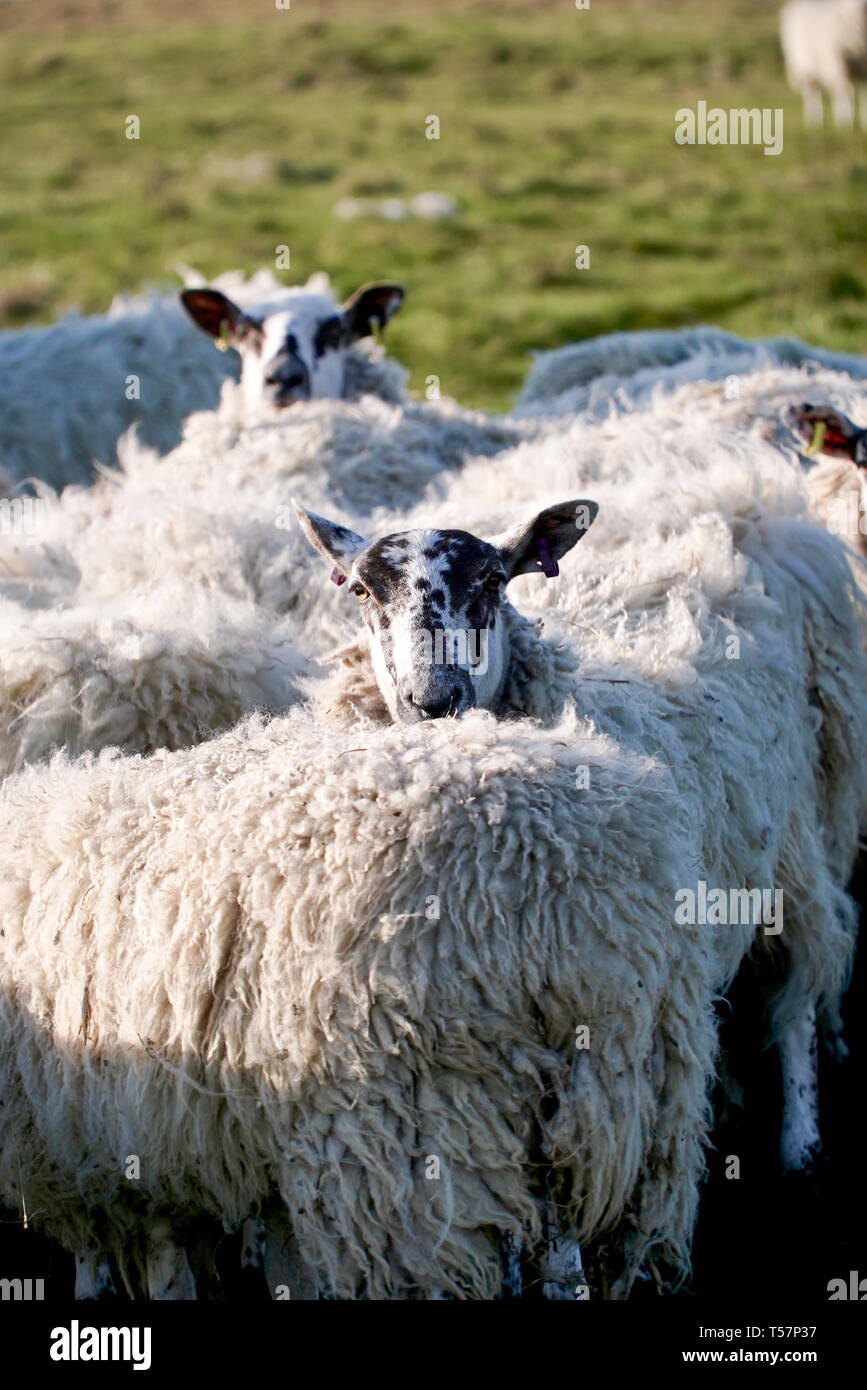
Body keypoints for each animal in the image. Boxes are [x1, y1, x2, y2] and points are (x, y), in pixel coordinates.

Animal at [2, 410, 864, 1299]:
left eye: (493, 582)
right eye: (360, 590)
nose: (433, 700)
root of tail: (736, 506)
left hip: (782, 865)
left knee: (800, 991)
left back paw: (799, 1141)